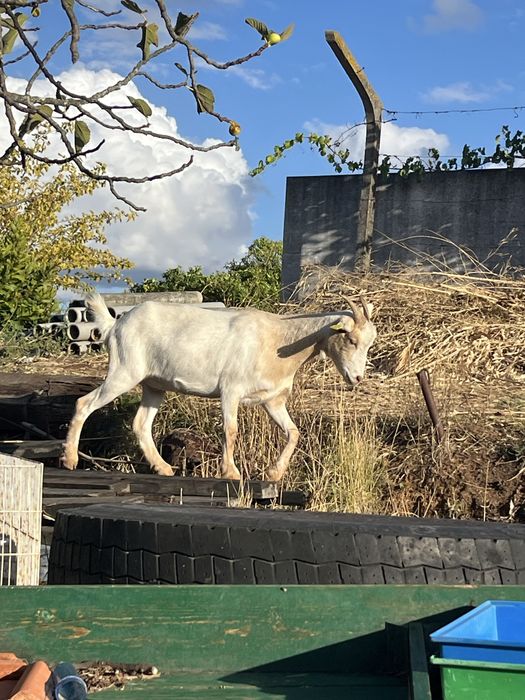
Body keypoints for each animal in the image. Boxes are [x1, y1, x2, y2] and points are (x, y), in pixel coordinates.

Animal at [62, 294, 377, 481]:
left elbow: (294, 433)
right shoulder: (231, 389)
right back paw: (70, 459)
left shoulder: (272, 400)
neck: (279, 339)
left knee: (141, 423)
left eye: (369, 343)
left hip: (153, 385)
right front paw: (231, 472)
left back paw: (163, 468)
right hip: (124, 371)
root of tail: (115, 324)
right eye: (350, 340)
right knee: (83, 403)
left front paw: (274, 473)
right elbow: (231, 430)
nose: (357, 378)